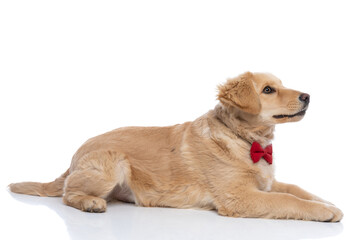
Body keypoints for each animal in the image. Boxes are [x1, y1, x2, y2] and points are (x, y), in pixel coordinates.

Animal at [9, 72, 344, 222]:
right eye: (268, 90)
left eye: (281, 84)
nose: (307, 96)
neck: (246, 141)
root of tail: (75, 155)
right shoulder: (239, 198)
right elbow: (288, 200)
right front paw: (324, 212)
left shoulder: (266, 182)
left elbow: (297, 189)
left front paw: (328, 202)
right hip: (111, 160)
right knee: (68, 194)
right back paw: (90, 202)